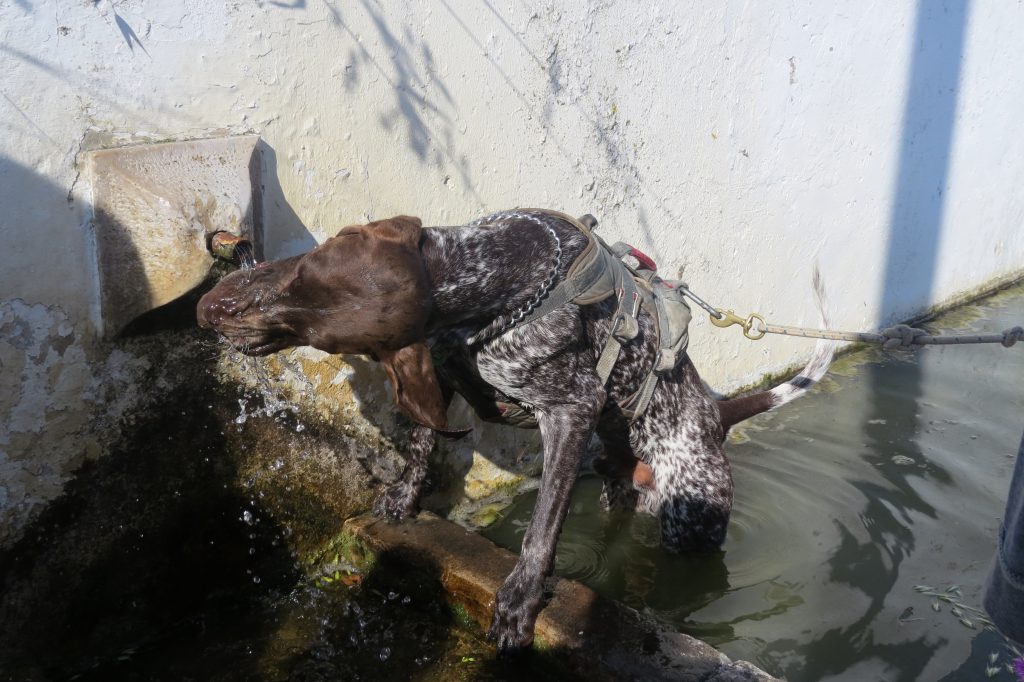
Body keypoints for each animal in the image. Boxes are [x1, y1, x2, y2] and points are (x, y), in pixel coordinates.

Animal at [195, 209, 835, 651]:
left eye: (317, 334)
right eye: (300, 273)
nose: (209, 311)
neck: (480, 276)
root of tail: (715, 413)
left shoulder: (571, 411)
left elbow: (542, 527)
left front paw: (521, 598)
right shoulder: (437, 369)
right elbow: (422, 441)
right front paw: (404, 496)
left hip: (692, 518)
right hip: (618, 481)